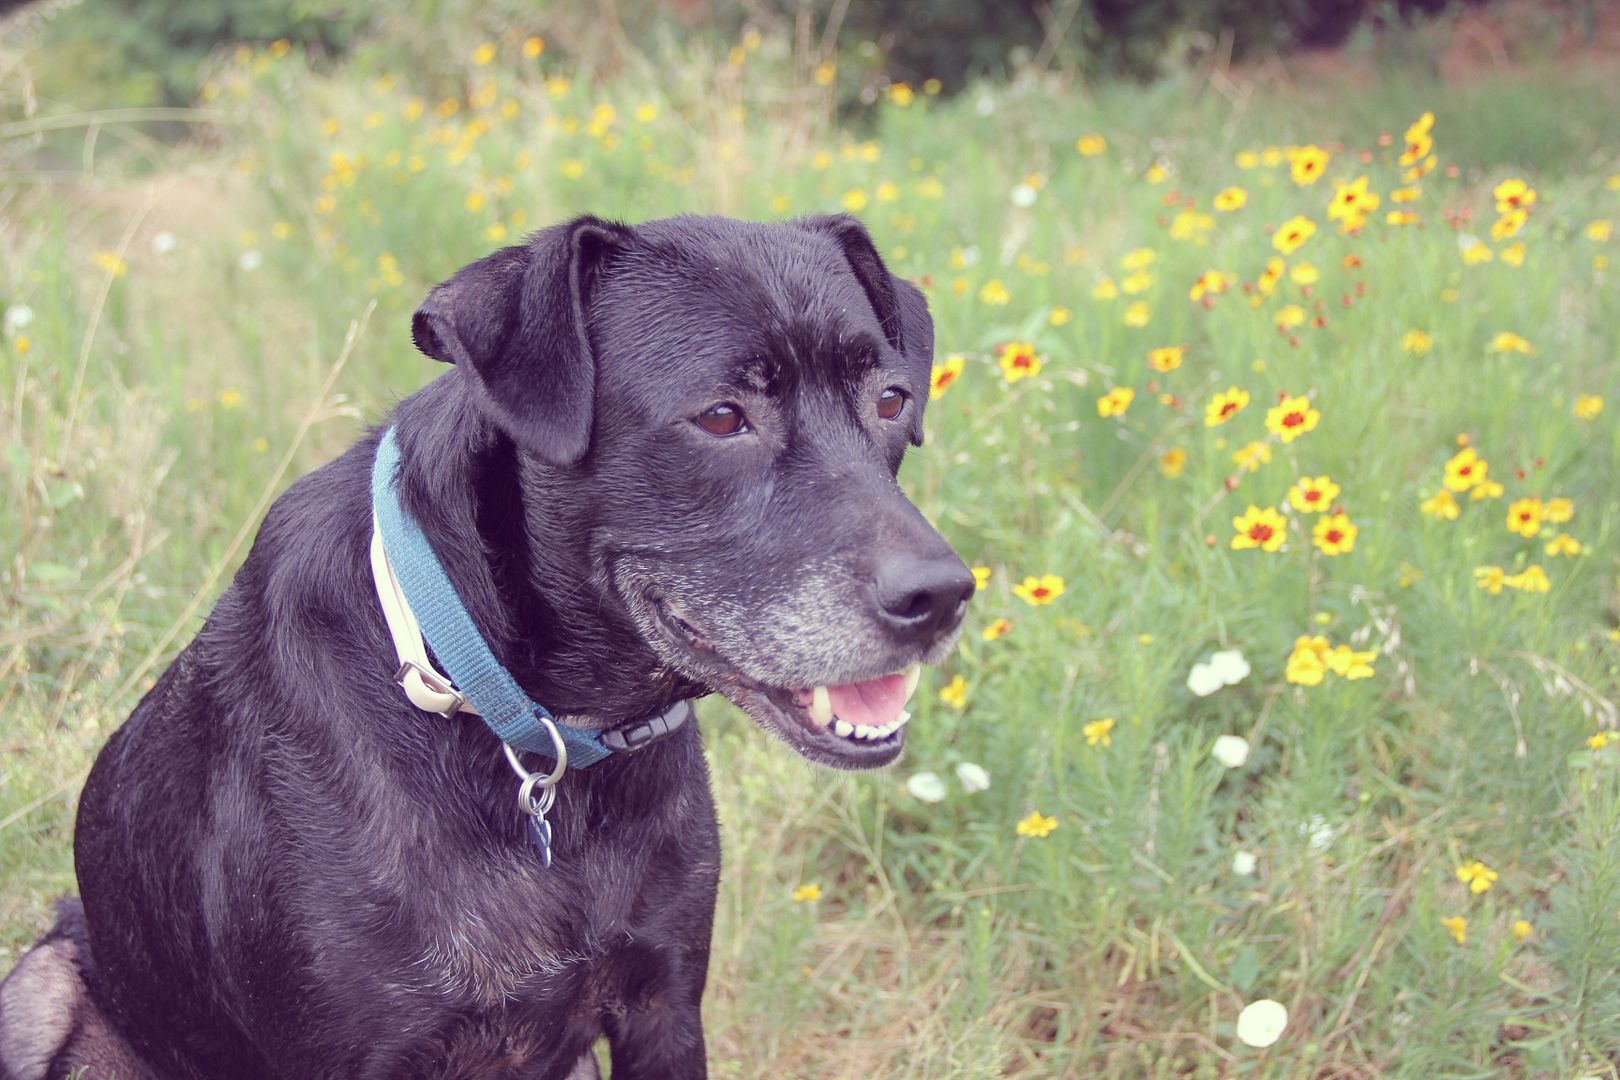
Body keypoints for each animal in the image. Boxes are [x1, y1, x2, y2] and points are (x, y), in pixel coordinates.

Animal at [0, 213, 959, 1080]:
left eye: (891, 401)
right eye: (722, 416)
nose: (943, 596)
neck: (529, 728)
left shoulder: (662, 1005)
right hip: (39, 990)